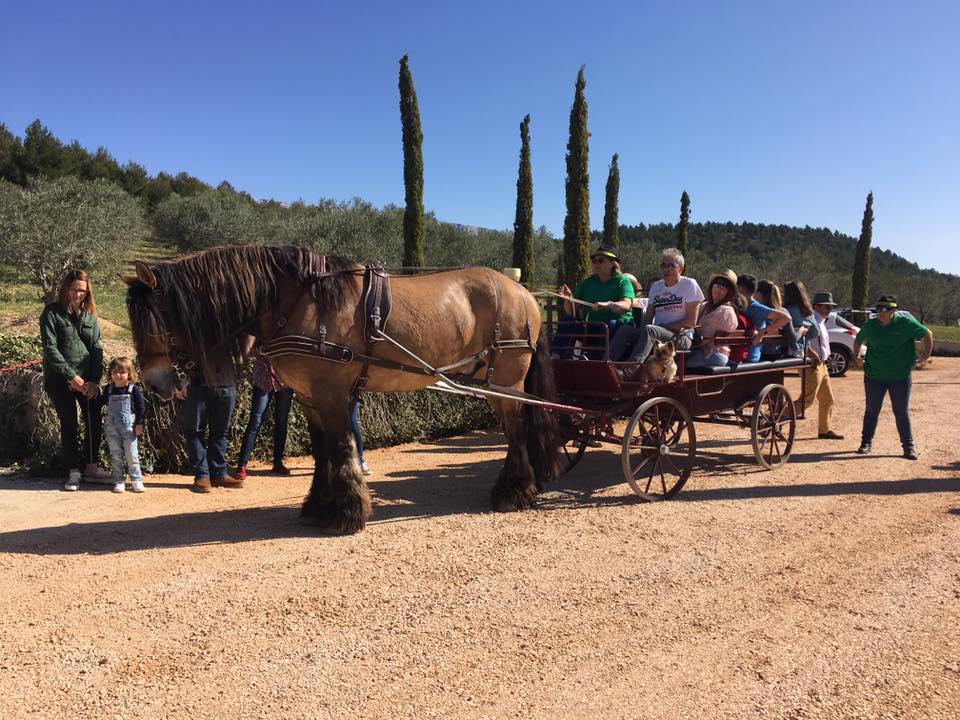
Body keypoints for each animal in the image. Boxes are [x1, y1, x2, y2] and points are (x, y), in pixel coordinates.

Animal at [126, 248, 564, 536]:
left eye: (156, 317)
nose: (154, 383)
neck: (299, 301)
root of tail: (525, 294)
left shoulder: (333, 395)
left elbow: (339, 448)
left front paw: (346, 513)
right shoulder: (310, 398)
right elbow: (322, 451)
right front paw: (319, 506)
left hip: (506, 382)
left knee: (517, 431)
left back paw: (513, 492)